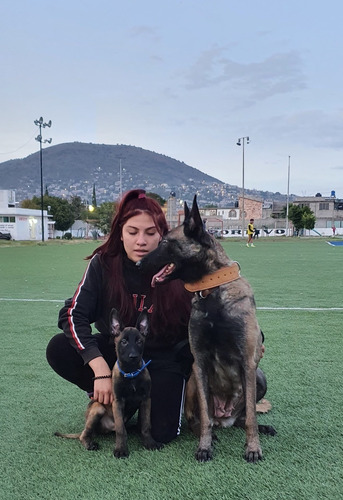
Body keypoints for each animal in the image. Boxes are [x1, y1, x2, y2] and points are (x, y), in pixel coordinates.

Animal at [138, 197, 276, 462]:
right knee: (201, 419)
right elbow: (204, 417)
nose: (138, 263)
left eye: (164, 243)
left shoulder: (248, 361)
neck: (212, 292)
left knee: (244, 417)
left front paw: (253, 448)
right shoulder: (199, 363)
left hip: (259, 376)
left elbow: (252, 417)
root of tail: (226, 418)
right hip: (193, 379)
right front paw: (205, 446)